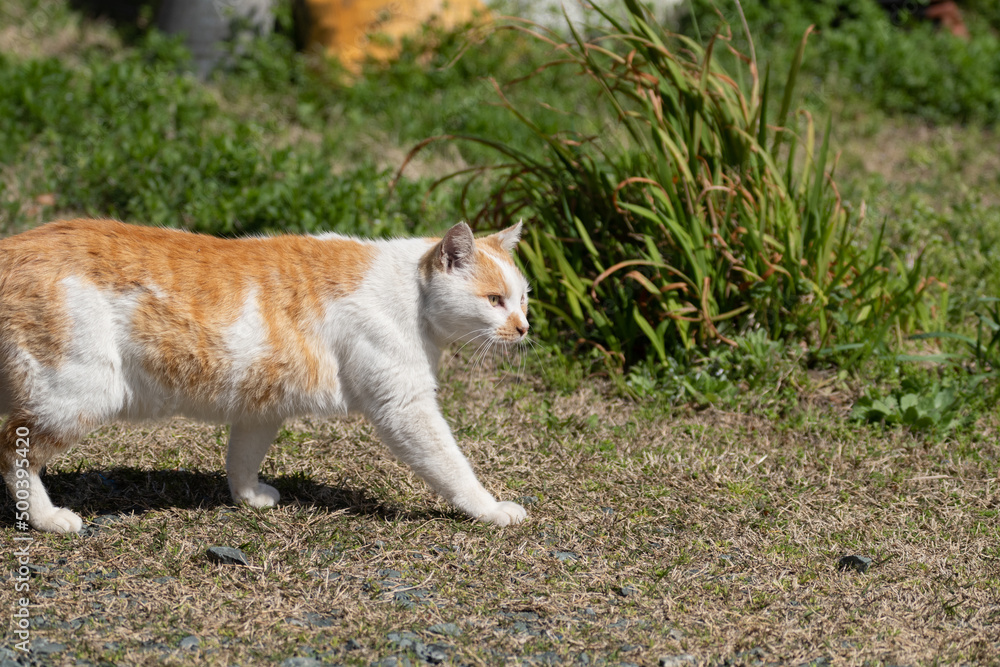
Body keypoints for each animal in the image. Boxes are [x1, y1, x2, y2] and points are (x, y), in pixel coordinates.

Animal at [0, 219, 532, 532]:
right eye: (494, 300)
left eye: (523, 297)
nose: (525, 326)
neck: (412, 296)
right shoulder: (404, 408)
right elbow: (452, 467)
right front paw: (490, 510)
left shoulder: (261, 402)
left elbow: (242, 456)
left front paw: (247, 497)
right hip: (78, 394)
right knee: (13, 453)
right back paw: (46, 518)